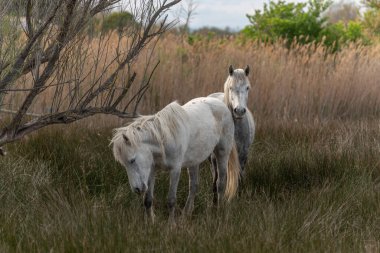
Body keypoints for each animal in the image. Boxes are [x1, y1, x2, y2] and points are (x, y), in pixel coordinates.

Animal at [111, 97, 239, 223]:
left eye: (132, 160)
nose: (137, 189)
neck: (164, 139)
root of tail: (221, 103)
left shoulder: (175, 169)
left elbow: (171, 200)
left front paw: (171, 225)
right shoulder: (152, 169)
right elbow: (147, 200)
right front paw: (150, 223)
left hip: (222, 152)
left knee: (220, 183)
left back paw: (219, 212)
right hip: (194, 161)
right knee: (194, 186)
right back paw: (186, 214)